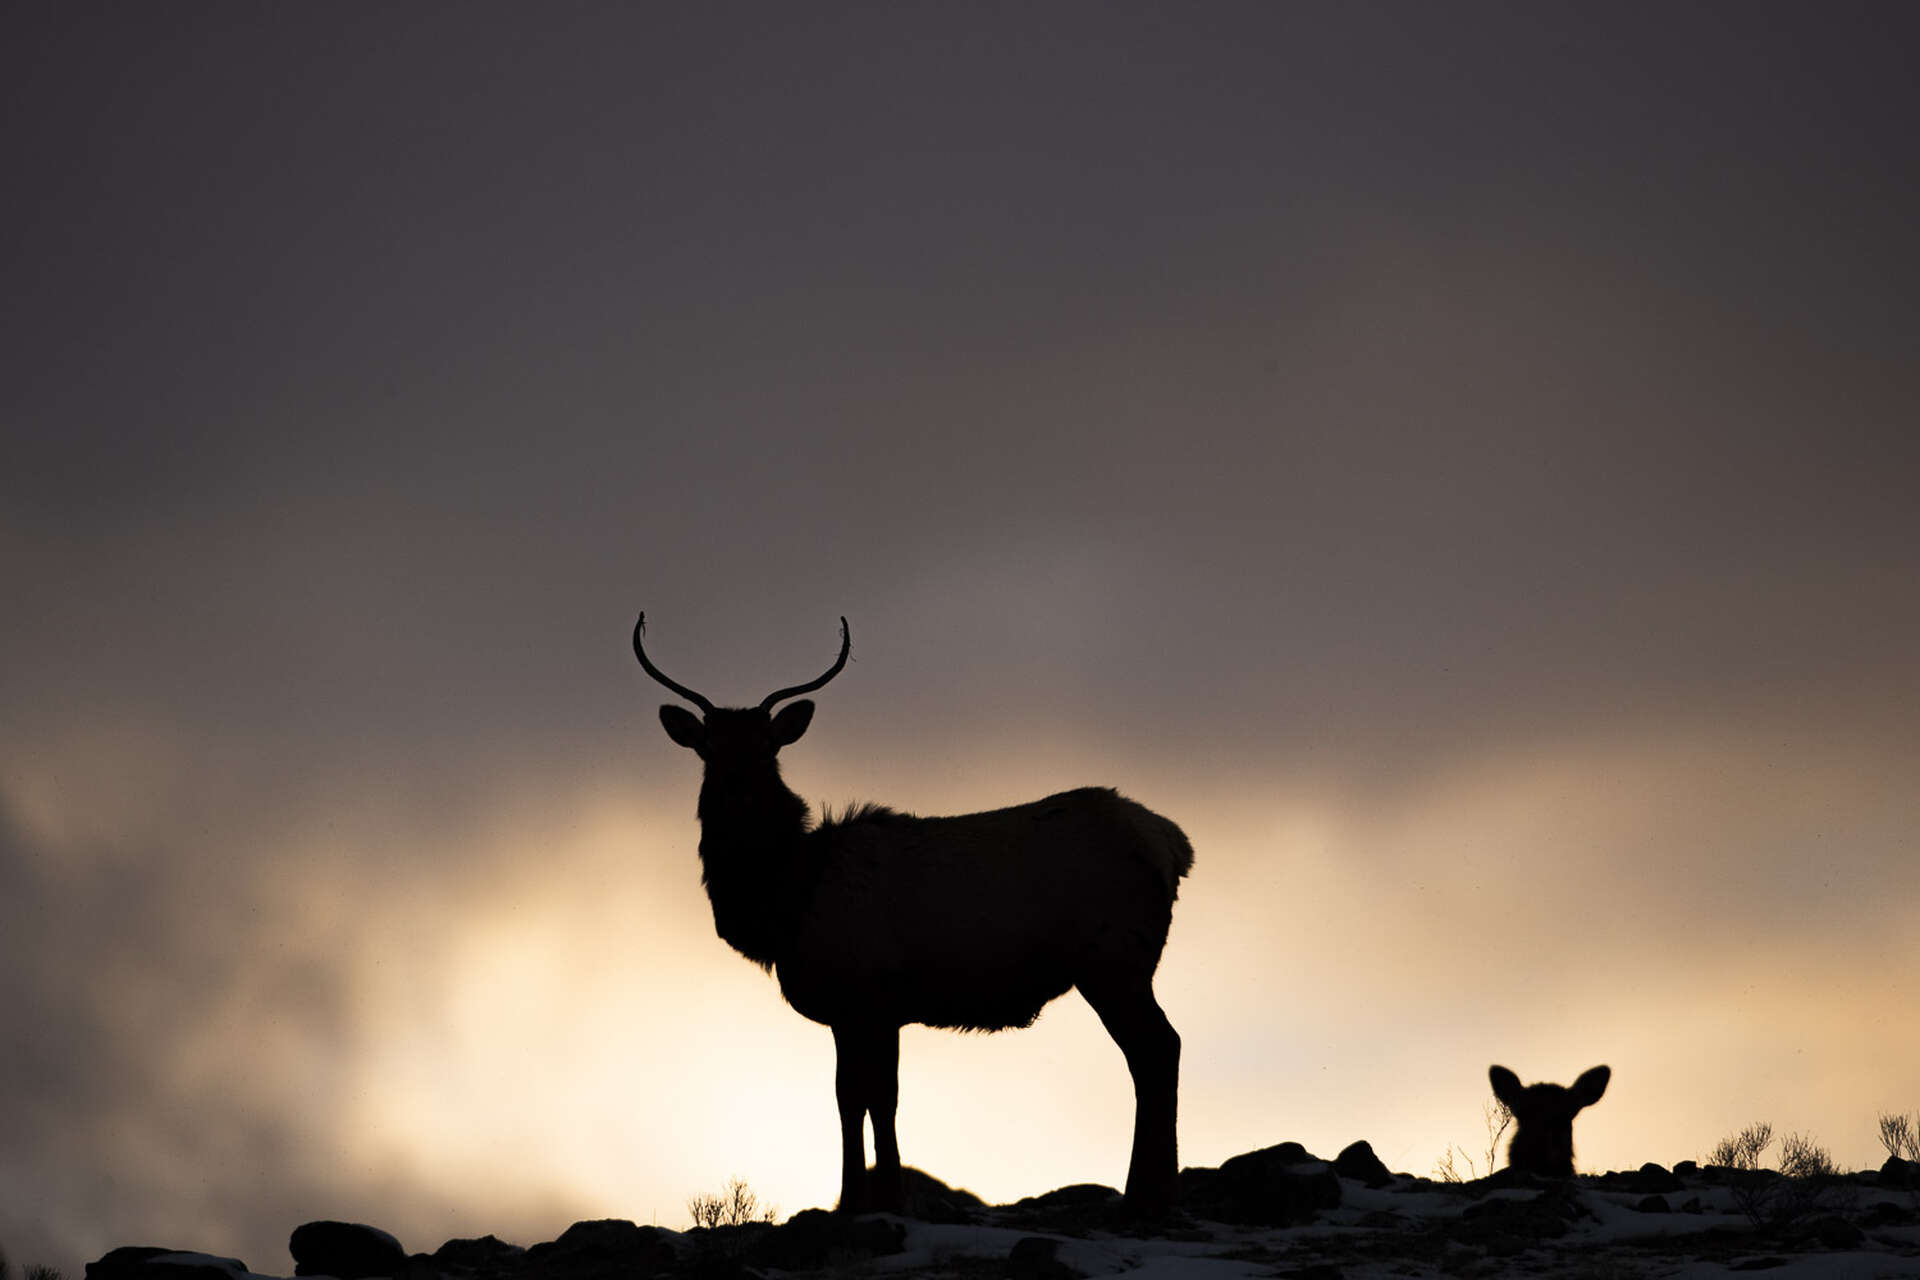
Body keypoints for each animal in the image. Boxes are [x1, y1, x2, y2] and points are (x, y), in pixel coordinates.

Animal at [637, 614, 1190, 1220]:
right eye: (708, 748)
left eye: (767, 748)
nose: (736, 792)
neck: (786, 900)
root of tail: (1173, 845)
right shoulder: (866, 1011)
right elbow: (864, 1098)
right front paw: (868, 1197)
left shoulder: (868, 999)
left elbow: (868, 1097)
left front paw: (875, 1198)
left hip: (1114, 962)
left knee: (1158, 1049)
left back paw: (1147, 1195)